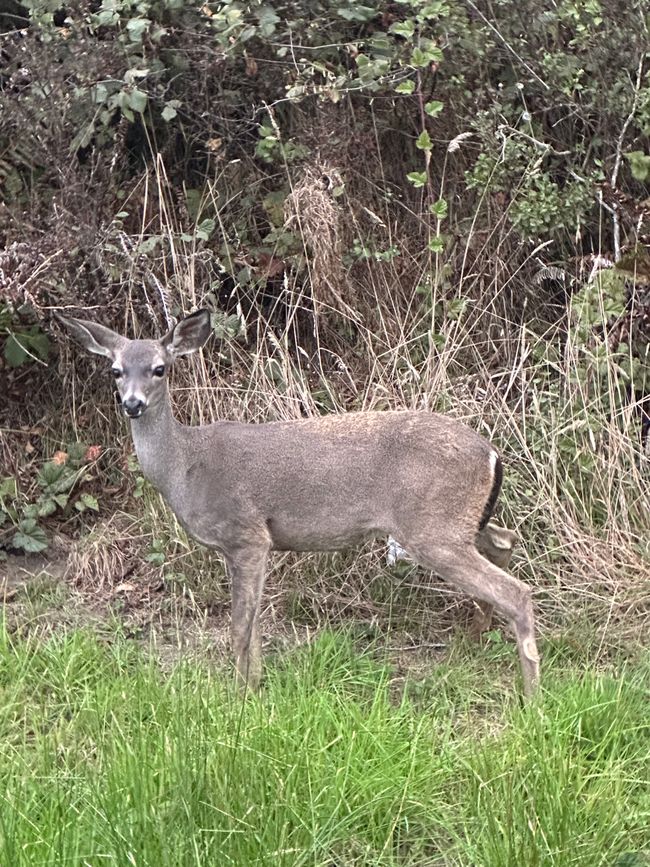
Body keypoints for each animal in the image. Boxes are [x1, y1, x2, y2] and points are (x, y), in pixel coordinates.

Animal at [58, 308, 540, 696]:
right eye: (115, 370)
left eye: (159, 369)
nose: (132, 404)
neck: (187, 467)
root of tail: (491, 453)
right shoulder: (249, 546)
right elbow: (252, 626)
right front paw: (254, 684)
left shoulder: (247, 534)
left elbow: (240, 628)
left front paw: (240, 695)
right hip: (460, 522)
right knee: (506, 541)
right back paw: (476, 634)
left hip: (432, 526)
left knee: (516, 590)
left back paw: (531, 696)